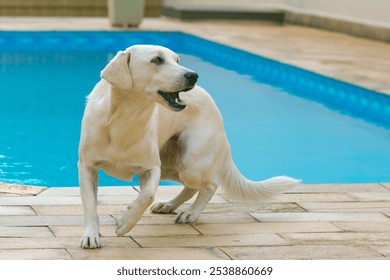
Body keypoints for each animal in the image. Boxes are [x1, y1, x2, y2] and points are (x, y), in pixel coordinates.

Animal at [77, 44, 300, 248]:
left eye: (177, 60)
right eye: (157, 60)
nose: (193, 75)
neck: (125, 119)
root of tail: (217, 112)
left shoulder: (152, 168)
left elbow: (147, 195)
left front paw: (125, 222)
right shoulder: (86, 167)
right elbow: (90, 205)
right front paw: (91, 235)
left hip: (190, 164)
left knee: (209, 185)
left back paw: (191, 213)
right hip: (174, 165)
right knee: (192, 187)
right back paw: (169, 205)